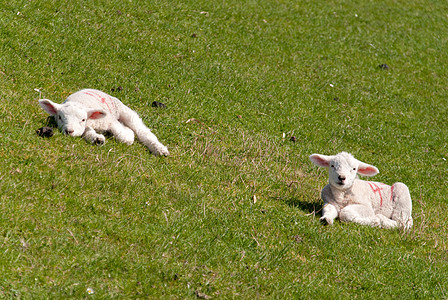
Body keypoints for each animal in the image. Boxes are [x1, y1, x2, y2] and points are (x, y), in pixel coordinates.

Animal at [37, 89, 168, 156]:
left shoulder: (109, 120)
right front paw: (97, 139)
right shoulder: (89, 126)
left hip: (124, 111)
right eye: (59, 117)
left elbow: (124, 137)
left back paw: (160, 150)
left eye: (83, 119)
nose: (69, 131)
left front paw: (128, 134)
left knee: (143, 132)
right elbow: (88, 133)